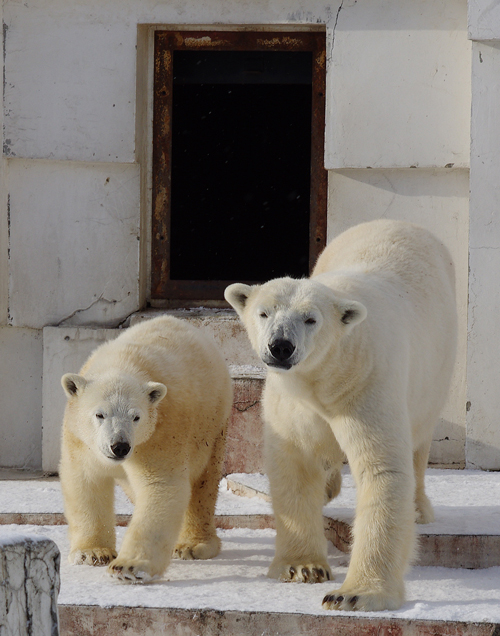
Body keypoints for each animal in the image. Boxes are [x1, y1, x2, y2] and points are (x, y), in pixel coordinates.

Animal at [59, 316, 232, 584]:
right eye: (99, 414)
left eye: (136, 417)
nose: (119, 446)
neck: (122, 363)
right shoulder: (80, 440)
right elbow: (86, 482)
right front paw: (93, 553)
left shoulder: (159, 433)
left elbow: (160, 487)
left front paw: (129, 567)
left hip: (212, 427)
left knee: (203, 486)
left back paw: (193, 545)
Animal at [226, 219, 458, 612]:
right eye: (263, 312)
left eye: (310, 319)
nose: (281, 346)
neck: (326, 375)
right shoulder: (291, 402)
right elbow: (295, 463)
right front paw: (302, 567)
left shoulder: (366, 383)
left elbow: (382, 469)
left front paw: (353, 594)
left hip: (436, 371)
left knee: (419, 438)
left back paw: (417, 508)